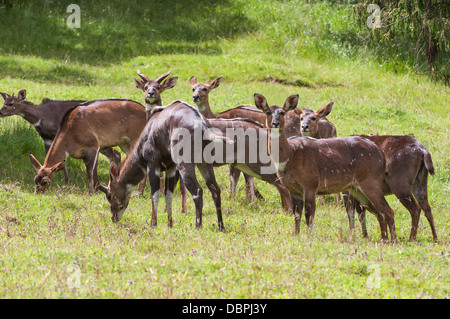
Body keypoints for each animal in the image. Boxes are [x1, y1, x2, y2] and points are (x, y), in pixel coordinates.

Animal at [95, 101, 229, 231]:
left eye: (109, 195)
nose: (113, 217)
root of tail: (202, 124)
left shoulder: (152, 165)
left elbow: (155, 194)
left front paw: (153, 224)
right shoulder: (171, 168)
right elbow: (168, 195)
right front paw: (170, 224)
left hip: (185, 164)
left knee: (197, 191)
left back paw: (198, 226)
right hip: (204, 162)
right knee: (215, 189)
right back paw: (221, 226)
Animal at [253, 94, 398, 244]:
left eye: (282, 112)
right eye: (268, 112)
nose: (275, 123)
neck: (290, 156)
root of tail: (381, 156)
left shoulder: (310, 184)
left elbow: (309, 215)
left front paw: (309, 237)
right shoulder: (293, 189)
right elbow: (296, 215)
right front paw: (296, 235)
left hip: (371, 182)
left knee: (388, 210)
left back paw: (393, 241)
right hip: (357, 189)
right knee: (378, 213)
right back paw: (384, 239)